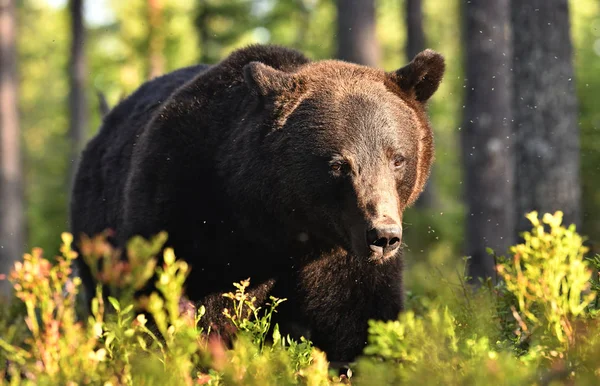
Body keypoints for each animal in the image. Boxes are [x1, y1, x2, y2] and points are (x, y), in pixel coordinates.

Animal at [70, 44, 446, 362]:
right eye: (339, 164)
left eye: (397, 158)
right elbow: (176, 303)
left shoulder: (340, 254)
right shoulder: (183, 209)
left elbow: (358, 318)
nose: (383, 235)